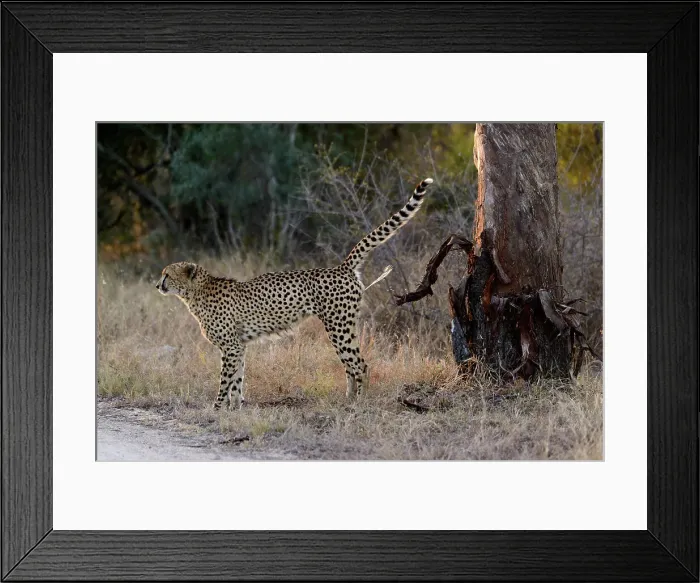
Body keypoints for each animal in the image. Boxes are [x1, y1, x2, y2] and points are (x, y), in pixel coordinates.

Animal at [156, 177, 433, 410]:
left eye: (166, 274)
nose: (157, 285)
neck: (195, 293)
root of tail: (341, 267)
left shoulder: (231, 346)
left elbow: (225, 381)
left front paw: (217, 408)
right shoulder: (239, 346)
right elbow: (237, 380)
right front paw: (236, 408)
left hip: (338, 326)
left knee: (360, 364)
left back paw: (359, 404)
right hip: (345, 326)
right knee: (350, 365)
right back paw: (348, 399)